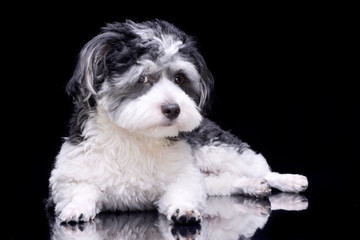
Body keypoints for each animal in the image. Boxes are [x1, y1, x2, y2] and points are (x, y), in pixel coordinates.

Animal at [47, 19, 308, 225]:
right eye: (142, 78)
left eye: (180, 78)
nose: (173, 109)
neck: (136, 136)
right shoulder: (68, 178)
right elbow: (79, 192)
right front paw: (76, 208)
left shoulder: (185, 176)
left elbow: (182, 191)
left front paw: (185, 210)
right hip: (213, 178)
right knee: (229, 181)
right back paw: (253, 185)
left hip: (218, 150)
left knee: (261, 168)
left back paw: (289, 180)